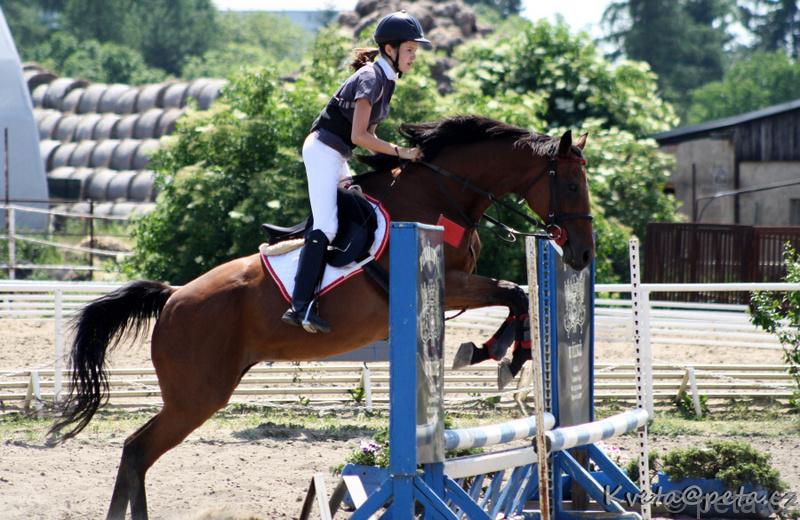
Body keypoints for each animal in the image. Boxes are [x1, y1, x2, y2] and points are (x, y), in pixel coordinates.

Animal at [49, 115, 593, 519]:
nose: (584, 254)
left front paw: (499, 352)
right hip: (196, 396)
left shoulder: (455, 287)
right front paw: (494, 353)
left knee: (135, 451)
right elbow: (515, 293)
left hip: (196, 394)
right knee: (137, 450)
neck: (440, 197)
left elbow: (518, 296)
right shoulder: (448, 283)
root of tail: (173, 297)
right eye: (570, 184)